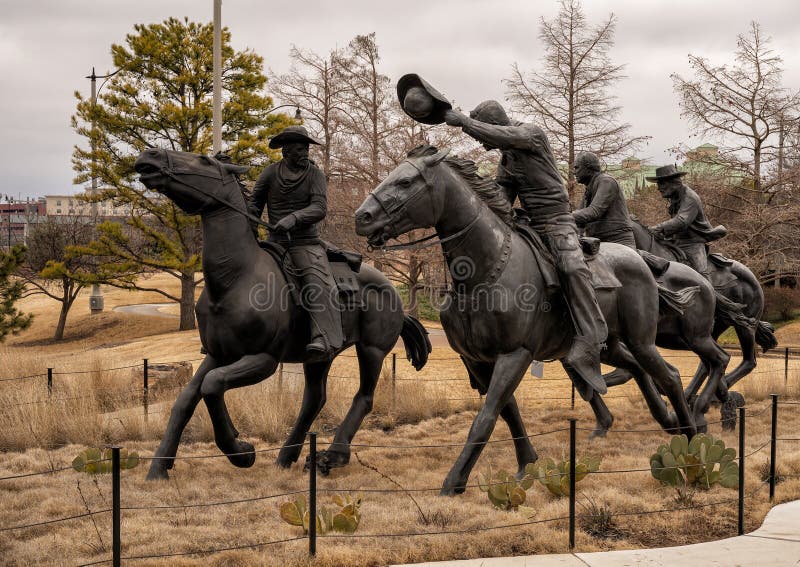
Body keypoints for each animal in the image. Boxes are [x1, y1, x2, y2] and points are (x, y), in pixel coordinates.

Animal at [135, 149, 432, 482]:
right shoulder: (217, 355)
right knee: (314, 400)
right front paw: (158, 468)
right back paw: (287, 457)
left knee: (364, 399)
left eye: (204, 161)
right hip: (321, 355)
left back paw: (331, 457)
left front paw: (241, 451)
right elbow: (186, 400)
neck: (234, 279)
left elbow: (213, 385)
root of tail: (391, 289)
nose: (149, 156)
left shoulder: (263, 359)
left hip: (372, 351)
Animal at [354, 148, 696, 496]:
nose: (362, 217)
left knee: (669, 375)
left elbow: (486, 417)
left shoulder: (515, 353)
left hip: (640, 339)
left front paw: (454, 481)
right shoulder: (477, 359)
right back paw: (667, 420)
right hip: (606, 345)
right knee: (637, 368)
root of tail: (640, 259)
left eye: (406, 181)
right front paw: (526, 463)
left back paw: (692, 436)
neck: (486, 269)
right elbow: (508, 411)